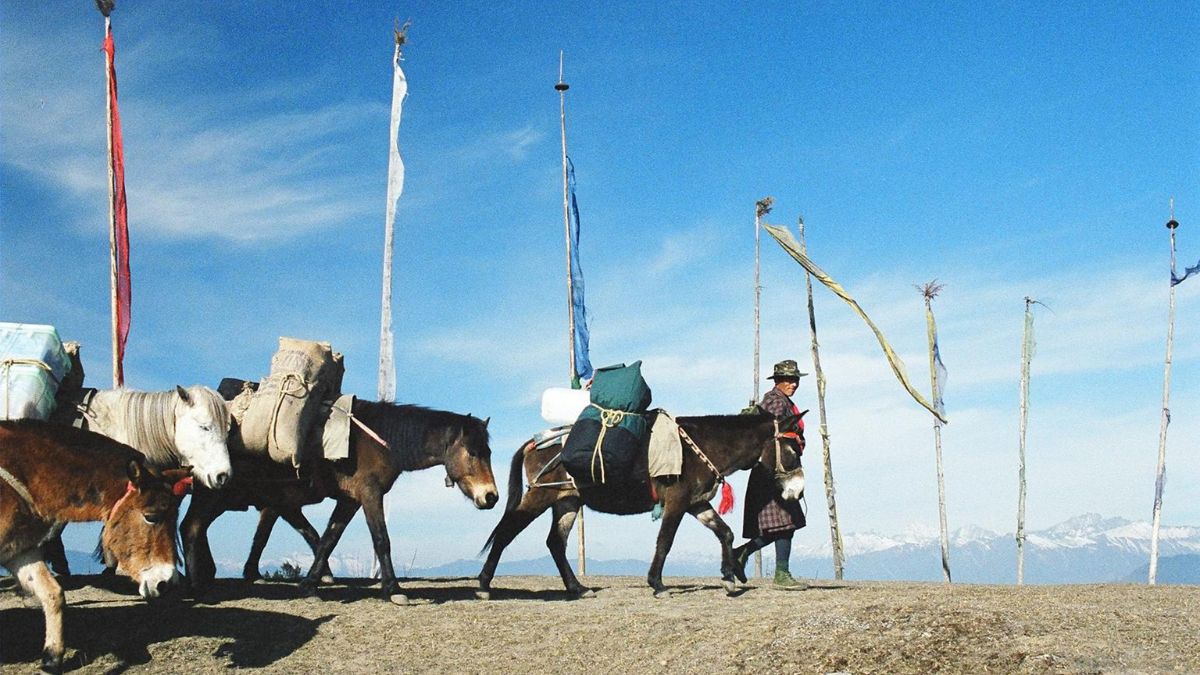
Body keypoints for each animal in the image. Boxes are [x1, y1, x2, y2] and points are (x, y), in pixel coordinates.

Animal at [0, 420, 188, 674]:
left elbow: (53, 593)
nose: (166, 582)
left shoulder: (21, 552)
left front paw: (52, 657)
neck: (23, 473)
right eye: (151, 517)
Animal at [182, 399, 499, 602]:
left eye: (488, 452)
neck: (381, 441)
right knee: (191, 527)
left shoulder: (349, 501)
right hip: (214, 493)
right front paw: (394, 589)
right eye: (473, 453)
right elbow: (381, 540)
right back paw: (197, 586)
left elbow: (327, 539)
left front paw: (310, 585)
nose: (491, 496)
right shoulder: (370, 494)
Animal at [477, 410, 805, 599]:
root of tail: (535, 442)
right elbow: (665, 541)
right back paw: (483, 585)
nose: (798, 491)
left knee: (555, 542)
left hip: (567, 500)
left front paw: (729, 577)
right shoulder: (677, 502)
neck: (701, 446)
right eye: (793, 448)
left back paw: (577, 588)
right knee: (506, 532)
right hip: (540, 496)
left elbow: (725, 533)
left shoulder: (696, 504)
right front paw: (657, 584)